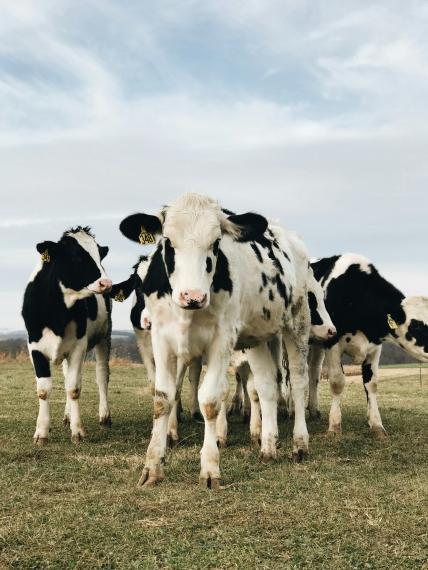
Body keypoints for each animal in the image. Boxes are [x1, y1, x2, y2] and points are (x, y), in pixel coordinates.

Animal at [22, 226, 113, 444]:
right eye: (75, 256)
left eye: (99, 255)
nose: (106, 283)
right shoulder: (34, 347)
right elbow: (44, 389)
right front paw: (42, 432)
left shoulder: (78, 346)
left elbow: (73, 388)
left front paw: (77, 431)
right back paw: (67, 416)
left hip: (104, 336)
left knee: (102, 375)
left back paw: (104, 416)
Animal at [118, 193, 316, 486]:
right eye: (167, 241)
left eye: (215, 243)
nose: (193, 296)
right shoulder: (161, 338)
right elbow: (162, 399)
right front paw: (152, 467)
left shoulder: (222, 340)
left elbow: (210, 400)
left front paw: (210, 468)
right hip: (257, 337)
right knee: (267, 385)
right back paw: (268, 447)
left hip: (297, 322)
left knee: (299, 382)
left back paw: (300, 444)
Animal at [308, 253, 428, 434]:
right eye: (417, 325)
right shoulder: (332, 343)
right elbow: (337, 381)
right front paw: (334, 426)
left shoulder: (374, 347)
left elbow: (372, 384)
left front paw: (376, 424)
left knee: (313, 372)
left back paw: (313, 410)